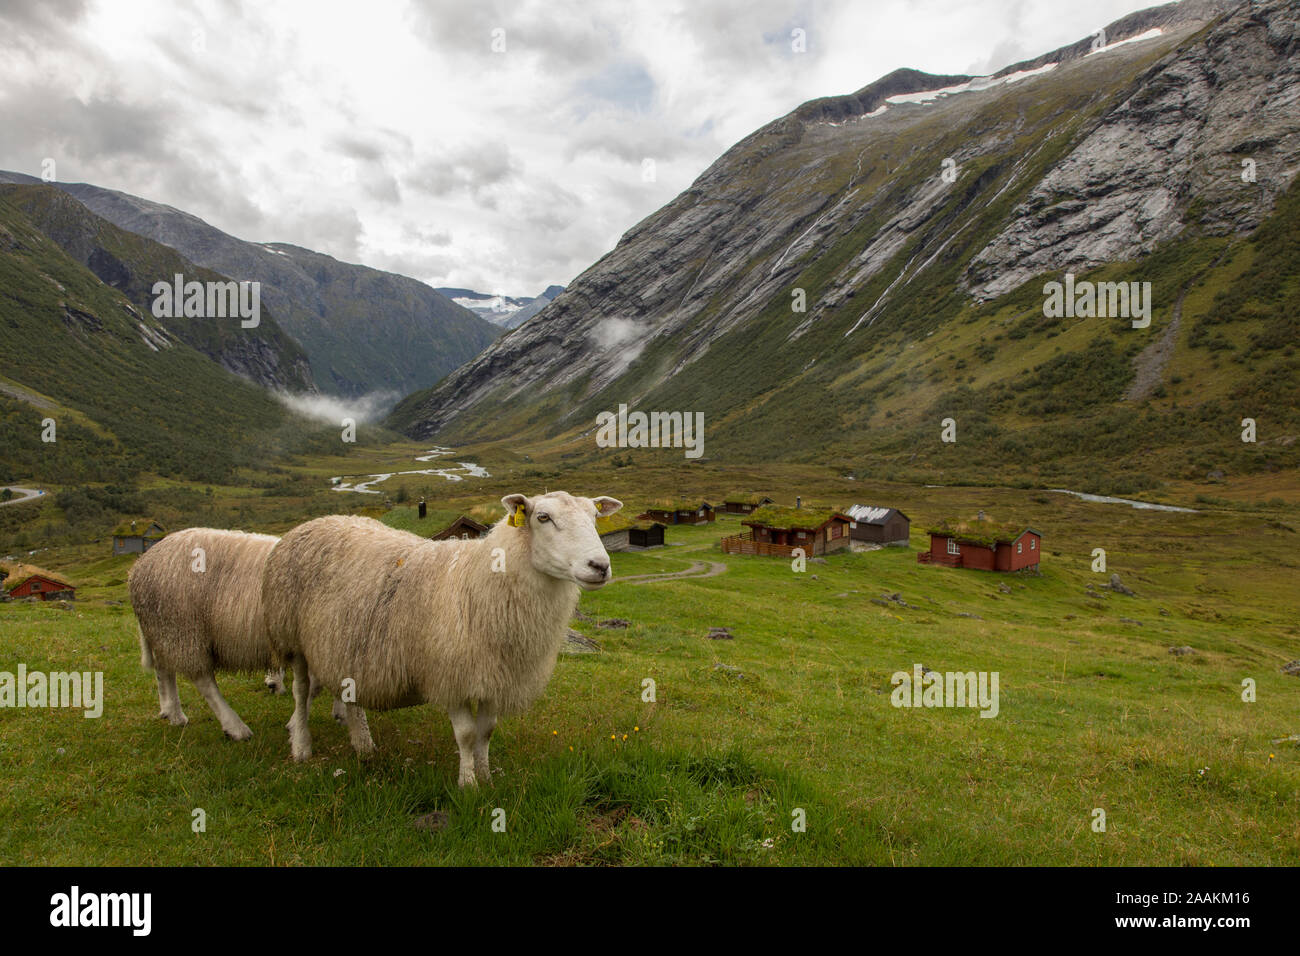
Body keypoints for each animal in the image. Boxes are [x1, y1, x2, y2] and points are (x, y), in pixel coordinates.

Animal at [128, 530, 335, 738]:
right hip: (183, 630)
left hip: (165, 631)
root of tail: (141, 564)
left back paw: (173, 714)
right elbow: (312, 686)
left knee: (164, 668)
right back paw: (235, 727)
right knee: (203, 680)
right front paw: (296, 722)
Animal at [262, 489, 618, 790]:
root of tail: (312, 522)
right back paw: (301, 744)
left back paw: (363, 746)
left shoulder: (495, 676)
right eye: (543, 517)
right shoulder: (449, 675)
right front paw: (468, 785)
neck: (479, 583)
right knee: (301, 692)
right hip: (291, 637)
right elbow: (466, 734)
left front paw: (486, 777)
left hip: (344, 642)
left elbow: (486, 732)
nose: (600, 566)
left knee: (348, 696)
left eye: (595, 517)